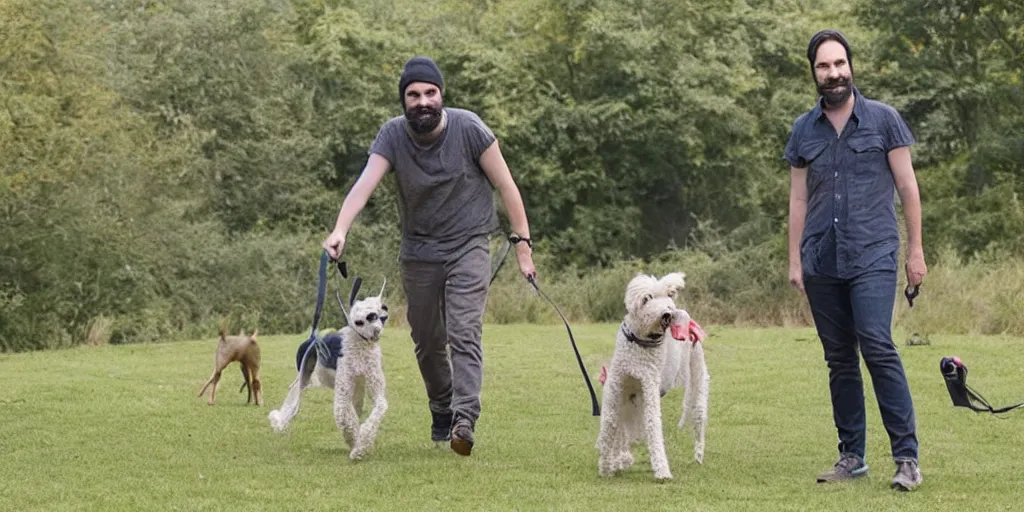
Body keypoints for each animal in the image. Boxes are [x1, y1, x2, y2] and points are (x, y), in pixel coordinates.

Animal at [268, 280, 387, 460]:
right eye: (359, 320)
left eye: (376, 314)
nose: (375, 331)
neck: (360, 345)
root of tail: (312, 338)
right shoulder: (344, 394)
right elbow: (345, 417)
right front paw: (355, 446)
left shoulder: (374, 389)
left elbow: (376, 411)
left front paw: (359, 446)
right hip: (304, 378)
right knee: (292, 400)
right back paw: (280, 423)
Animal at [598, 274, 708, 481]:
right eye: (646, 298)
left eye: (669, 295)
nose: (668, 314)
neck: (641, 341)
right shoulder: (617, 388)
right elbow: (610, 424)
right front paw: (607, 465)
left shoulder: (648, 384)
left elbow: (653, 425)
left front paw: (662, 470)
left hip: (698, 376)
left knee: (698, 415)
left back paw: (698, 455)